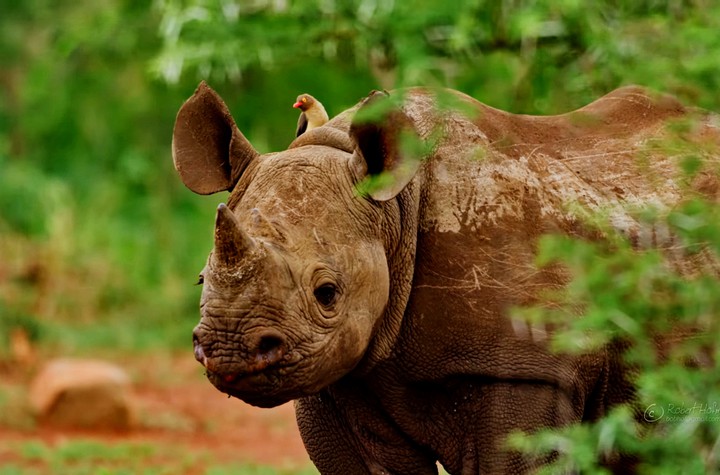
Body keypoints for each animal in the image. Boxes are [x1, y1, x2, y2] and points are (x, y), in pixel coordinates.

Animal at [172, 82, 719, 474]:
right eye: (201, 281)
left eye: (327, 293)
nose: (229, 351)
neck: (394, 210)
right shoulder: (345, 373)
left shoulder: (524, 369)